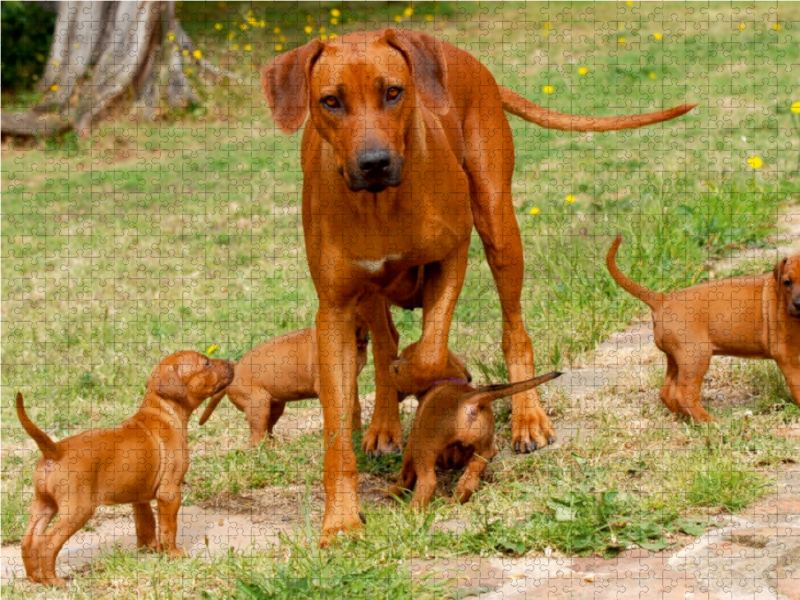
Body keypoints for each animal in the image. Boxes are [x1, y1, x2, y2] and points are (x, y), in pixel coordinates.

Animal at [17, 352, 233, 584]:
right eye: (207, 363)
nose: (231, 361)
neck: (164, 412)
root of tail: (55, 450)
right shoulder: (169, 493)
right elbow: (168, 528)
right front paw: (173, 553)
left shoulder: (140, 497)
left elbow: (146, 523)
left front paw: (151, 549)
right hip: (77, 510)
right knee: (48, 542)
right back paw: (54, 582)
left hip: (43, 504)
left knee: (29, 539)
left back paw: (35, 577)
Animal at [390, 370, 560, 510]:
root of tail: (470, 400)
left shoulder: (411, 446)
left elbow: (405, 475)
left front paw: (392, 492)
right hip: (481, 453)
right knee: (469, 483)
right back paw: (452, 502)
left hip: (424, 451)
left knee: (428, 482)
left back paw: (412, 512)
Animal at [608, 234, 800, 422]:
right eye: (787, 282)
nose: (798, 303)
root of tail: (663, 299)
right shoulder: (785, 353)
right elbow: (797, 383)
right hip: (696, 356)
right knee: (684, 394)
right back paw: (708, 421)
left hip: (678, 358)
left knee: (667, 392)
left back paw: (687, 418)